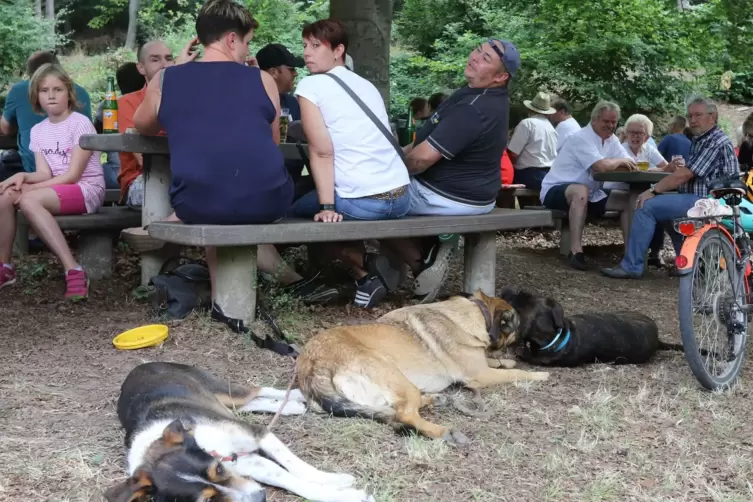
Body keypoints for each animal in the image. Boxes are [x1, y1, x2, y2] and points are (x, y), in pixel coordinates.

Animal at [104, 362, 374, 502]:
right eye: (208, 501)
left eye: (218, 470)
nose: (260, 497)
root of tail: (138, 367)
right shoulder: (249, 464)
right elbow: (292, 481)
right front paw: (345, 494)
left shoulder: (257, 434)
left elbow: (295, 466)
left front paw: (333, 480)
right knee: (248, 404)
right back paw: (291, 407)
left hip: (221, 389)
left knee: (255, 391)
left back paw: (296, 396)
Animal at [296, 290, 548, 444]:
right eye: (516, 326)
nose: (524, 336)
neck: (475, 313)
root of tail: (311, 364)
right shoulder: (480, 375)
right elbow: (515, 373)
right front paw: (539, 374)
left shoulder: (481, 365)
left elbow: (497, 362)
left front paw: (507, 360)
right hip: (396, 375)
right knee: (405, 415)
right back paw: (443, 431)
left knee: (398, 411)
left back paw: (435, 399)